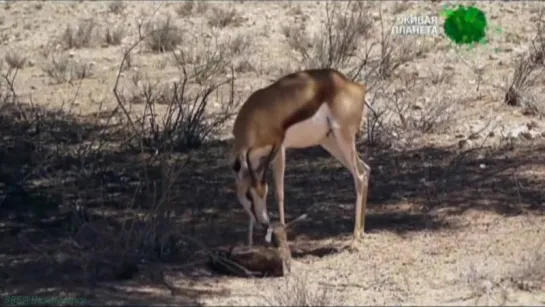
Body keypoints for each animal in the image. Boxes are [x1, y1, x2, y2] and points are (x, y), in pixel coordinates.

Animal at [230, 68, 370, 249]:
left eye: (265, 193)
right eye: (248, 194)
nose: (264, 223)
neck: (257, 116)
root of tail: (357, 87)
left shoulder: (280, 148)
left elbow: (280, 192)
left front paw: (283, 236)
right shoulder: (254, 158)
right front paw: (249, 244)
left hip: (343, 137)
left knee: (359, 176)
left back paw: (354, 239)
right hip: (329, 142)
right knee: (365, 169)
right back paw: (362, 232)